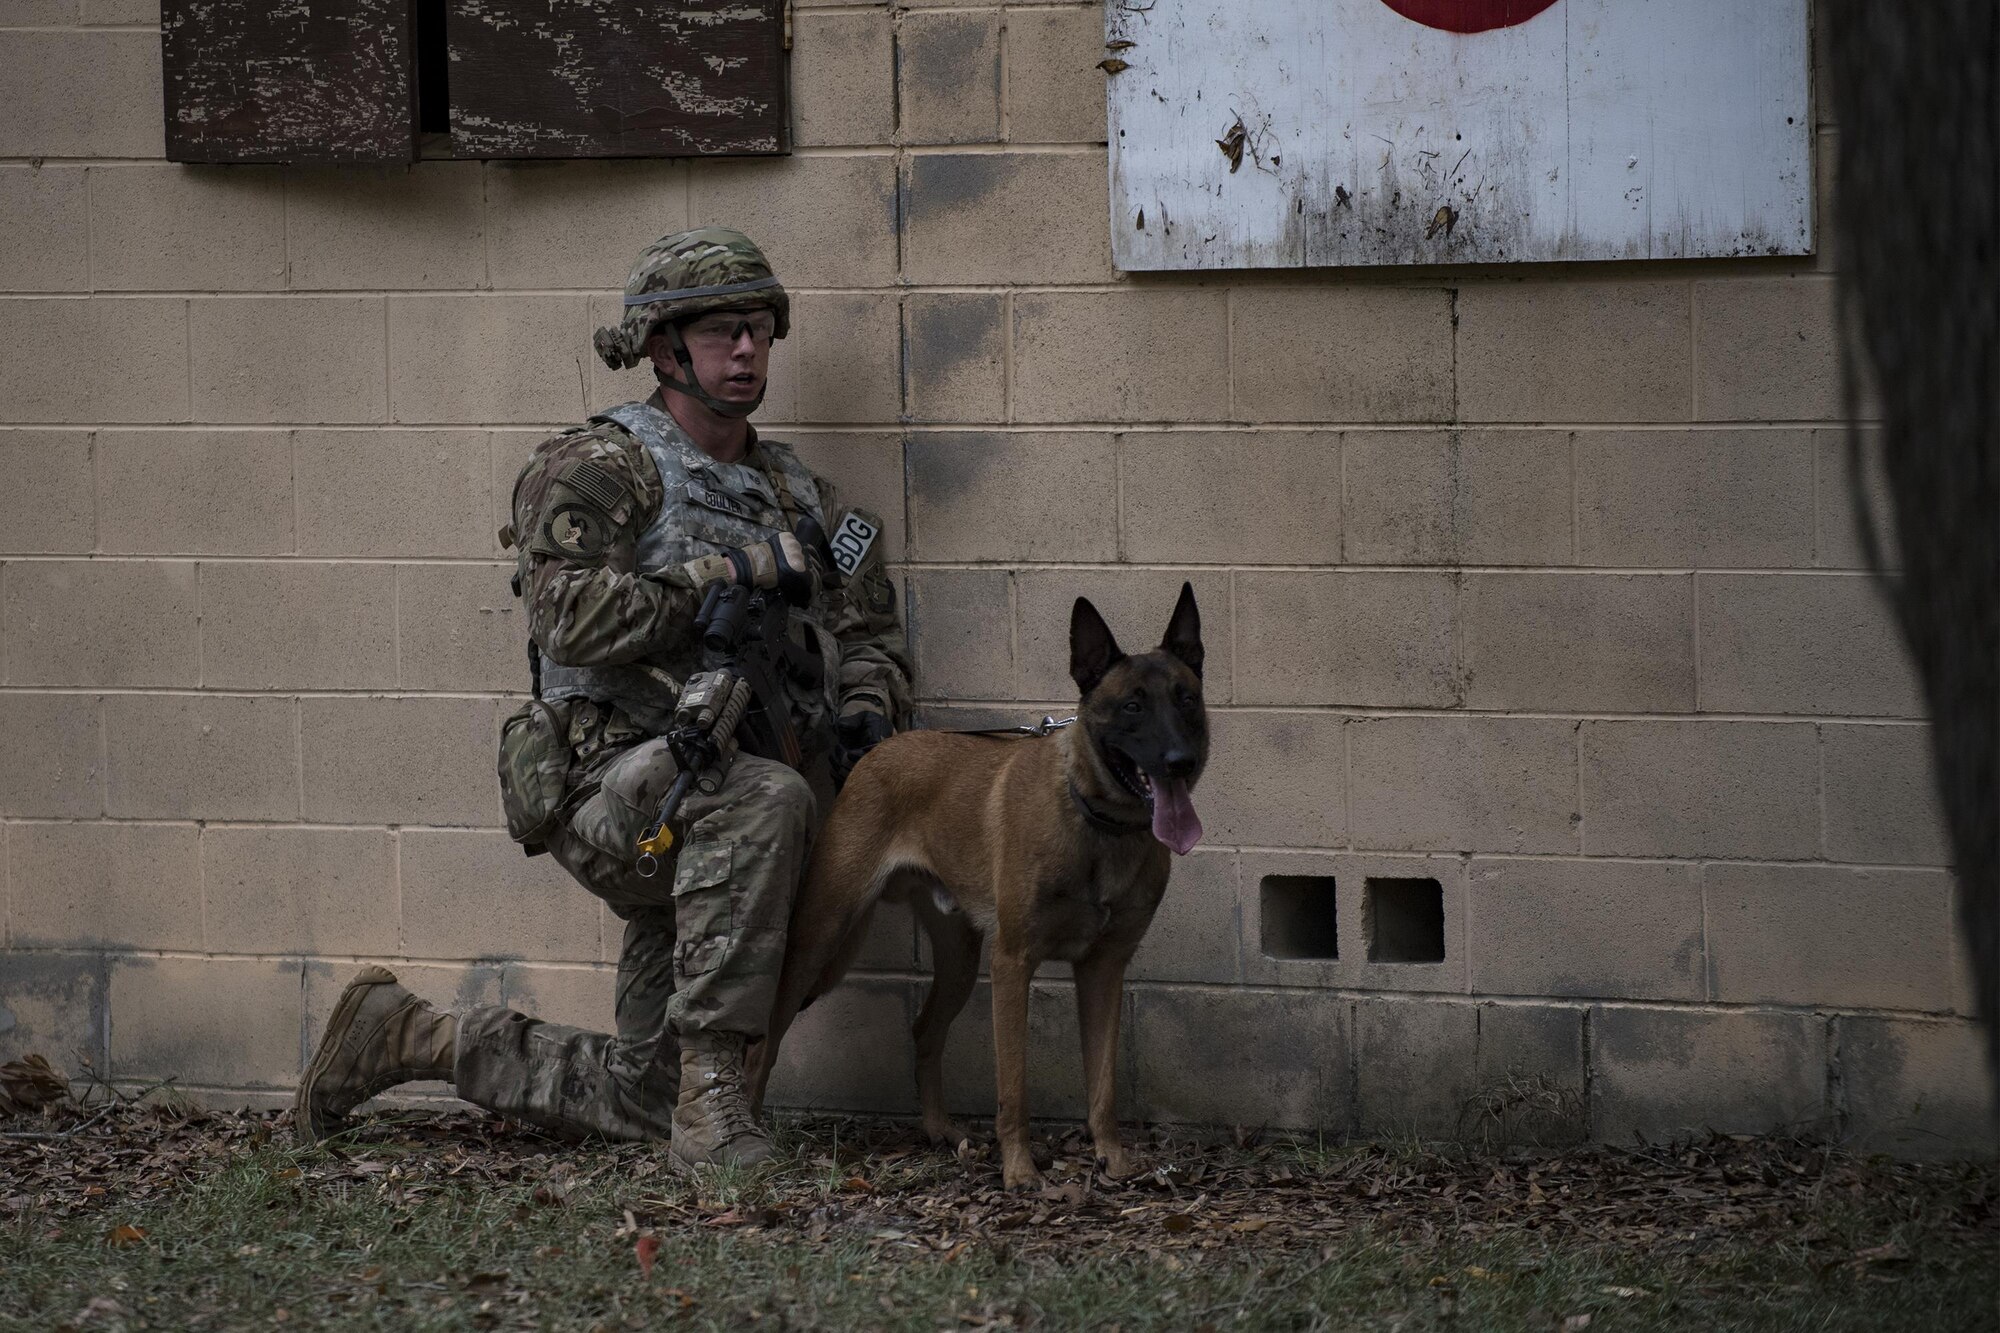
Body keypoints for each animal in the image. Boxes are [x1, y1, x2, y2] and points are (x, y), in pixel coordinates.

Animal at [748, 580, 1200, 1184]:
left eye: (1186, 700)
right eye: (1132, 706)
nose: (1180, 761)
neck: (1097, 822)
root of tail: (877, 749)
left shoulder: (1104, 971)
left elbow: (1103, 1085)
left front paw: (1113, 1159)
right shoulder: (1012, 964)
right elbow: (1014, 1087)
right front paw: (1021, 1172)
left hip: (959, 959)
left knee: (924, 1031)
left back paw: (940, 1130)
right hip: (822, 934)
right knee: (769, 1032)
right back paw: (747, 1126)